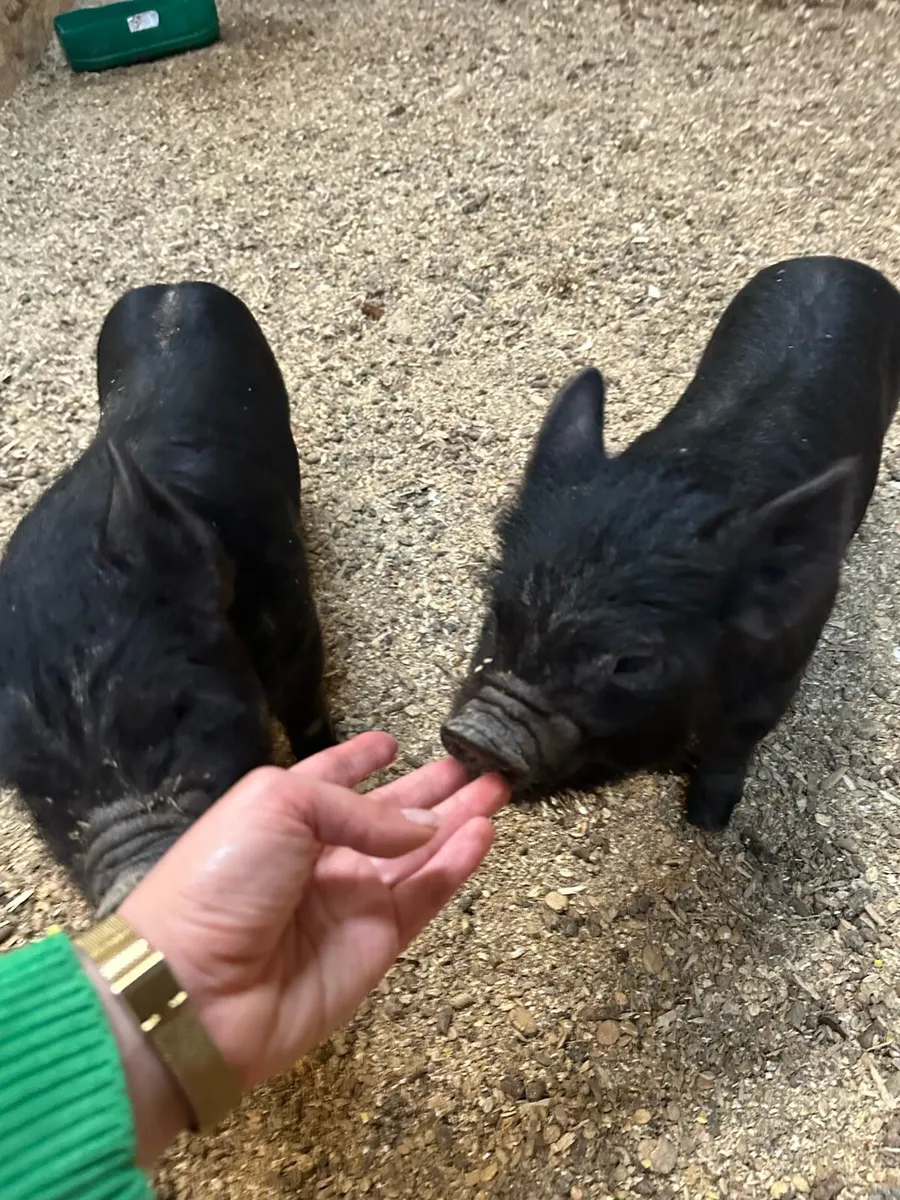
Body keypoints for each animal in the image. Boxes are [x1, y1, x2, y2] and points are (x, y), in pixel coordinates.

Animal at [0, 281, 335, 912]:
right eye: (35, 790)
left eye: (181, 711)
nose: (138, 886)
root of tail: (171, 288)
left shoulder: (292, 621)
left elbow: (304, 705)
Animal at [441, 256, 900, 830]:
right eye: (498, 610)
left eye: (632, 662)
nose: (476, 733)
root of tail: (836, 262)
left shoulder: (777, 681)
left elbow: (732, 747)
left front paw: (708, 822)